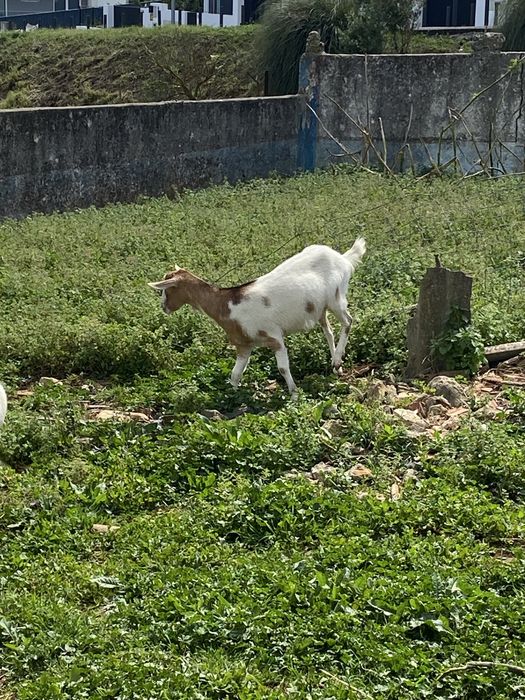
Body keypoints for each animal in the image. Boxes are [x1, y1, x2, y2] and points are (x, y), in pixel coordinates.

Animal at [148, 238, 366, 398]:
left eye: (167, 289)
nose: (163, 307)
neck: (227, 305)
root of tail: (343, 258)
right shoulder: (244, 345)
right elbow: (235, 375)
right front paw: (232, 397)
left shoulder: (274, 337)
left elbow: (282, 368)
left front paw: (294, 394)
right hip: (319, 309)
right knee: (328, 331)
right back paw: (336, 365)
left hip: (336, 298)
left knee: (348, 322)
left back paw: (337, 358)